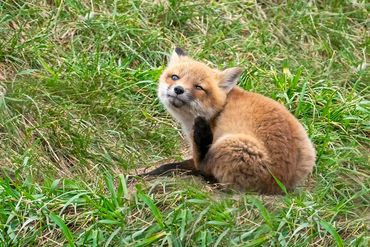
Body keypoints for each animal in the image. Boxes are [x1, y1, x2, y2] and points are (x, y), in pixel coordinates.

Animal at [140, 48, 316, 194]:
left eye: (198, 87)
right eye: (175, 77)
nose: (178, 89)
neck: (218, 110)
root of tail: (280, 186)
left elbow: (191, 161)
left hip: (231, 144)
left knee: (204, 169)